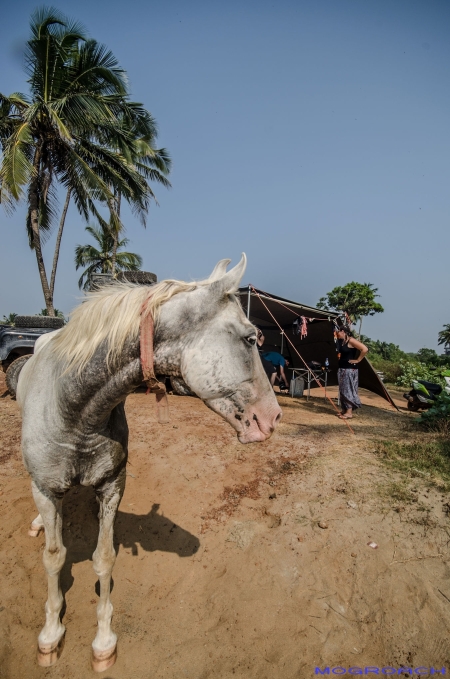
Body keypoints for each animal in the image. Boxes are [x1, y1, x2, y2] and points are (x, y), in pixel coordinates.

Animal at [15, 256, 280, 676]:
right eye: (251, 338)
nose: (274, 418)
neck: (75, 409)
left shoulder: (112, 486)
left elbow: (104, 558)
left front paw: (103, 642)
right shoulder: (46, 489)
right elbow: (54, 559)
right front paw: (51, 634)